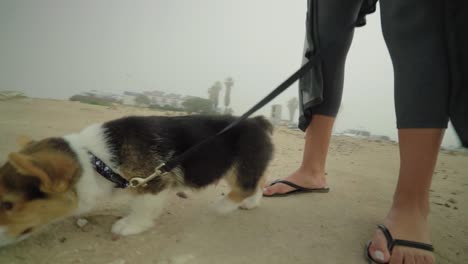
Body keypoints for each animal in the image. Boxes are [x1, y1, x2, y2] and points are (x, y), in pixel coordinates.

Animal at [0, 114, 274, 246]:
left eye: (7, 204)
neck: (94, 160)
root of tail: (257, 121)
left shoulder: (152, 182)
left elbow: (143, 209)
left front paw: (129, 225)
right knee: (260, 180)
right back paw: (251, 203)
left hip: (241, 164)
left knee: (245, 185)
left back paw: (222, 207)